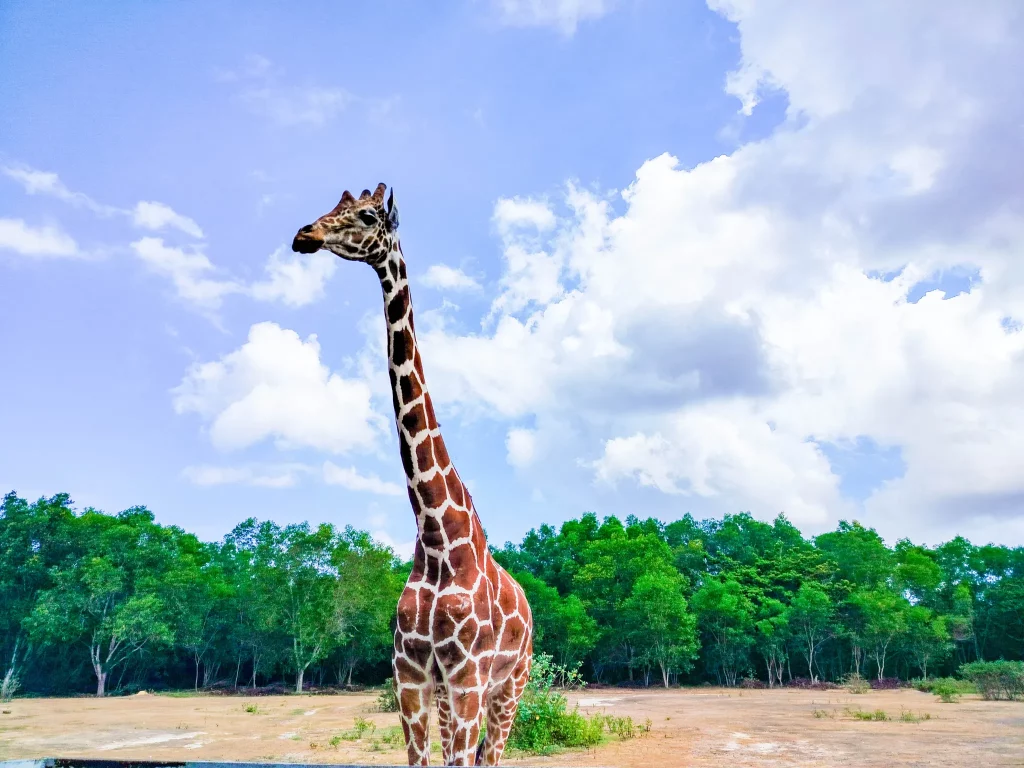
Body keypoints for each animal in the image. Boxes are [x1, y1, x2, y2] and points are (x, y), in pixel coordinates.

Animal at [292, 183, 533, 766]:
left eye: (366, 215)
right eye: (333, 205)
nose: (304, 235)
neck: (437, 538)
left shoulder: (468, 676)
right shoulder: (413, 675)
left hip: (510, 686)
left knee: (494, 754)